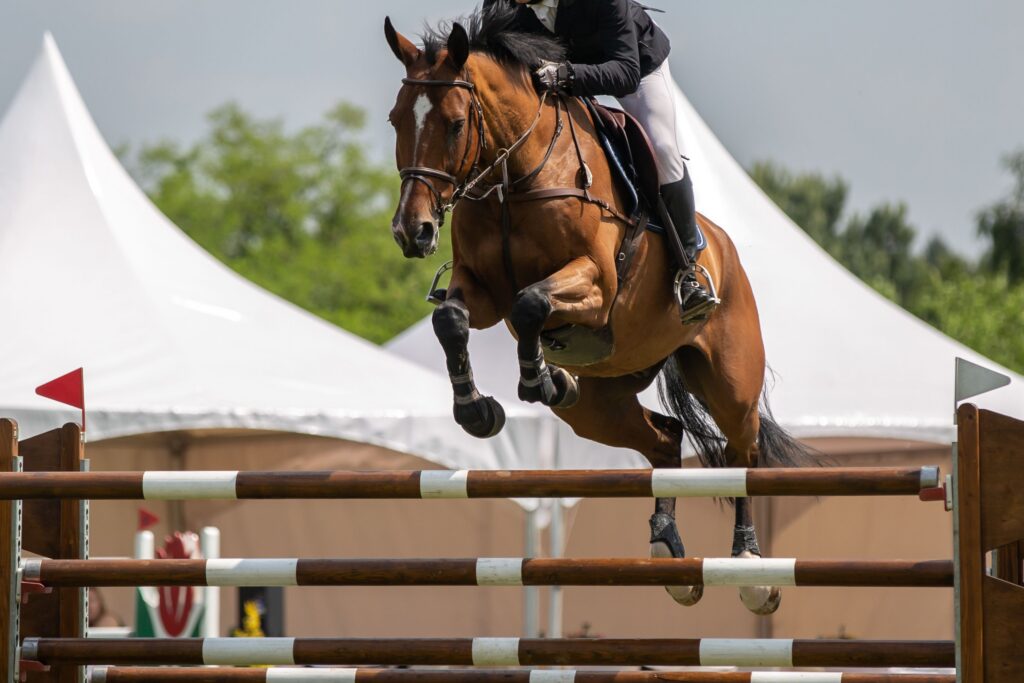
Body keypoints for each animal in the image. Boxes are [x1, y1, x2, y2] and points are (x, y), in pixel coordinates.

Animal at [383, 7, 814, 615]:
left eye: (454, 123)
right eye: (396, 118)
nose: (412, 231)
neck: (514, 177)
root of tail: (725, 250)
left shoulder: (596, 283)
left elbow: (532, 301)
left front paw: (538, 378)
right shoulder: (481, 290)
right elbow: (455, 320)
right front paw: (478, 409)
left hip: (731, 382)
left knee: (742, 455)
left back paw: (751, 569)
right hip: (601, 403)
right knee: (664, 437)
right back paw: (667, 549)